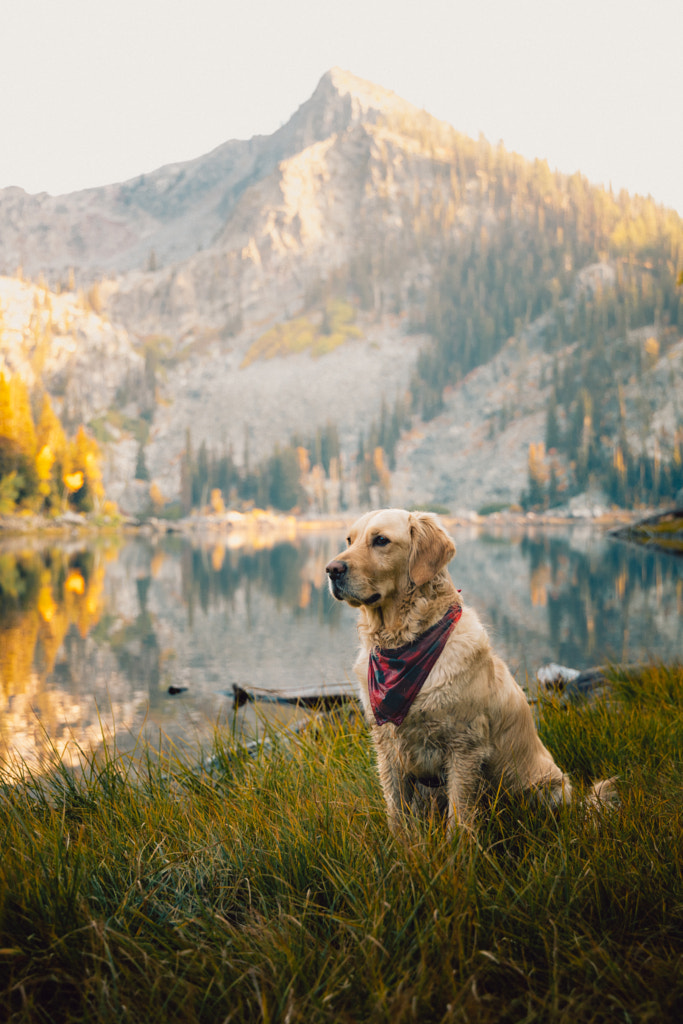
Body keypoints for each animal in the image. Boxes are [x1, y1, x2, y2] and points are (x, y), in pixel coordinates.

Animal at [325, 505, 614, 831]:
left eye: (381, 540)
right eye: (349, 539)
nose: (331, 569)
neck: (403, 644)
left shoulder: (464, 745)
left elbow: (460, 813)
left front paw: (458, 844)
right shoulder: (387, 745)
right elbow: (396, 812)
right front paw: (400, 842)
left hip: (548, 788)